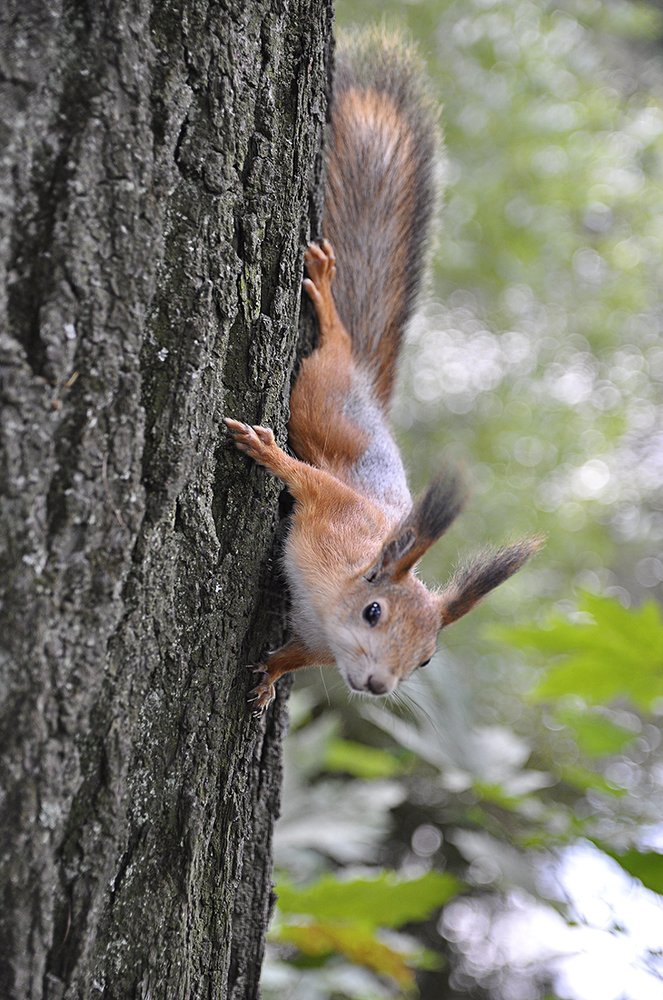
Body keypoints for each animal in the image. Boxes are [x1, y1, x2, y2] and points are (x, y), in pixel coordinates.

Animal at [225, 33, 540, 716]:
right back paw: (328, 302)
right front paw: (265, 453)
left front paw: (269, 678)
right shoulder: (337, 512)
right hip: (322, 392)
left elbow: (293, 656)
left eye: (425, 660)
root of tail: (369, 389)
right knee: (334, 350)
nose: (376, 685)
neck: (330, 600)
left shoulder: (316, 642)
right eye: (373, 612)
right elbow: (308, 481)